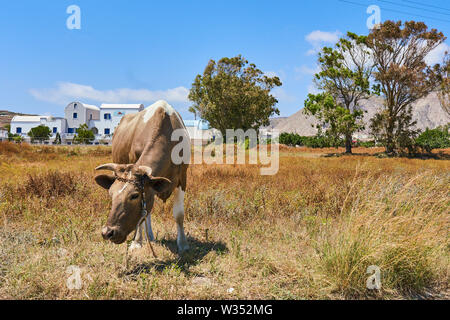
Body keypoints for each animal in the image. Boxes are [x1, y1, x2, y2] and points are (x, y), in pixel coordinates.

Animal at [96, 100, 191, 252]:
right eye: (111, 194)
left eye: (134, 195)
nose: (107, 232)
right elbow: (142, 216)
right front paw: (137, 242)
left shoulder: (182, 178)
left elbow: (179, 214)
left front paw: (183, 244)